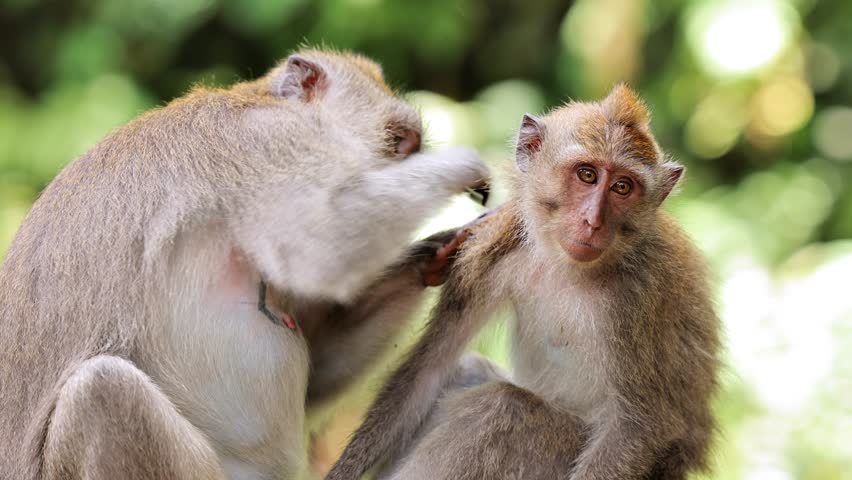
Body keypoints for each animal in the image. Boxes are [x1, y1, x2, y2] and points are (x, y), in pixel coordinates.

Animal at [0, 49, 492, 480]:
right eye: (399, 141)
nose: (412, 154)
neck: (256, 100)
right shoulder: (267, 144)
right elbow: (317, 249)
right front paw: (464, 164)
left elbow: (318, 372)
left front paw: (434, 254)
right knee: (102, 391)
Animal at [325, 84, 722, 480]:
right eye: (587, 175)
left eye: (623, 187)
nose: (593, 222)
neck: (566, 266)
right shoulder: (494, 246)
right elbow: (429, 369)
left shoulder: (640, 297)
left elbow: (637, 425)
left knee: (503, 408)